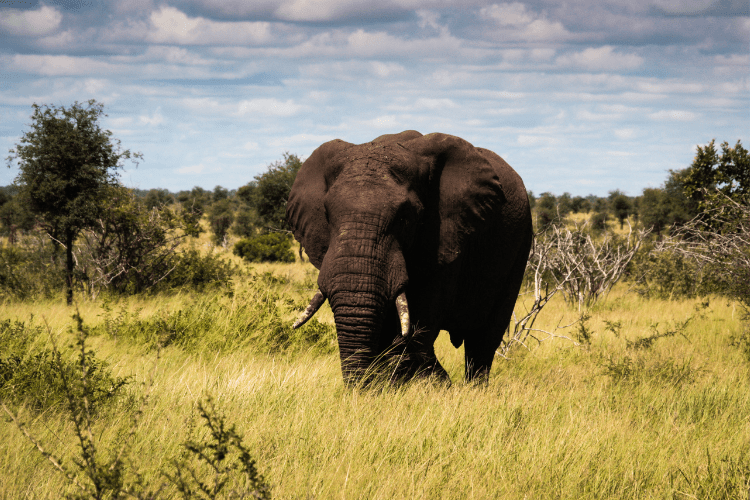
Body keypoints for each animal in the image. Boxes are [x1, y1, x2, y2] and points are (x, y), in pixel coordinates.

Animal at [287, 130, 533, 385]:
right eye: (326, 214)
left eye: (405, 218)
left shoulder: (446, 239)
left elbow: (415, 329)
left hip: (521, 243)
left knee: (483, 340)